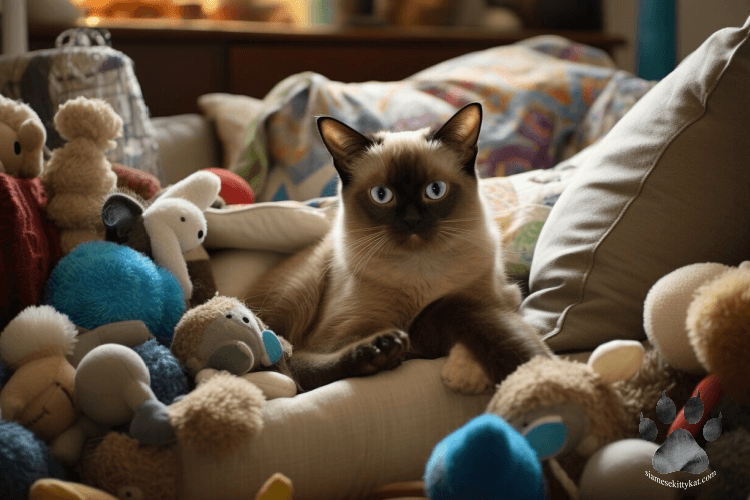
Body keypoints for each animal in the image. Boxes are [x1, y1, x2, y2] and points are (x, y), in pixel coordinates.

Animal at [244, 103, 556, 392]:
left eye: (435, 190)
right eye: (382, 195)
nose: (412, 220)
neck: (420, 269)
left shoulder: (501, 300)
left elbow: (480, 320)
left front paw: (468, 375)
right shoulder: (339, 335)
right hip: (301, 291)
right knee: (290, 363)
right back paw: (377, 352)